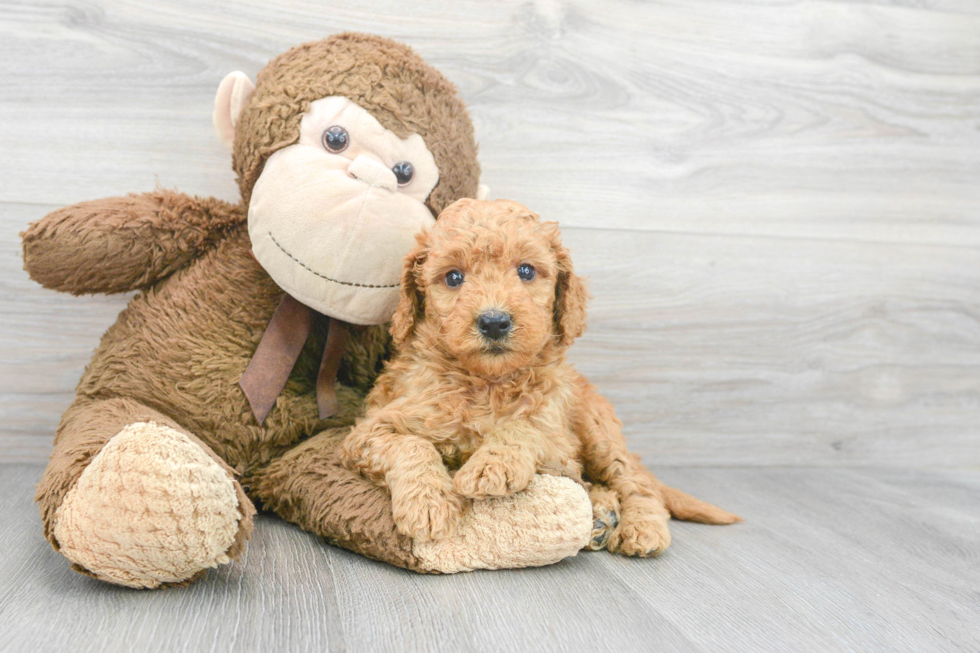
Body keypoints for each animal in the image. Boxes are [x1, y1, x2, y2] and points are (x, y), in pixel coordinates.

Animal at [340, 197, 740, 556]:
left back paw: (641, 527)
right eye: (453, 277)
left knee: (635, 480)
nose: (494, 321)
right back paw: (601, 516)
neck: (487, 383)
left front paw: (490, 465)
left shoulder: (559, 442)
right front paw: (428, 504)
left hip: (598, 431)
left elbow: (523, 426)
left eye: (527, 271)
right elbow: (412, 444)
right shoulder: (369, 430)